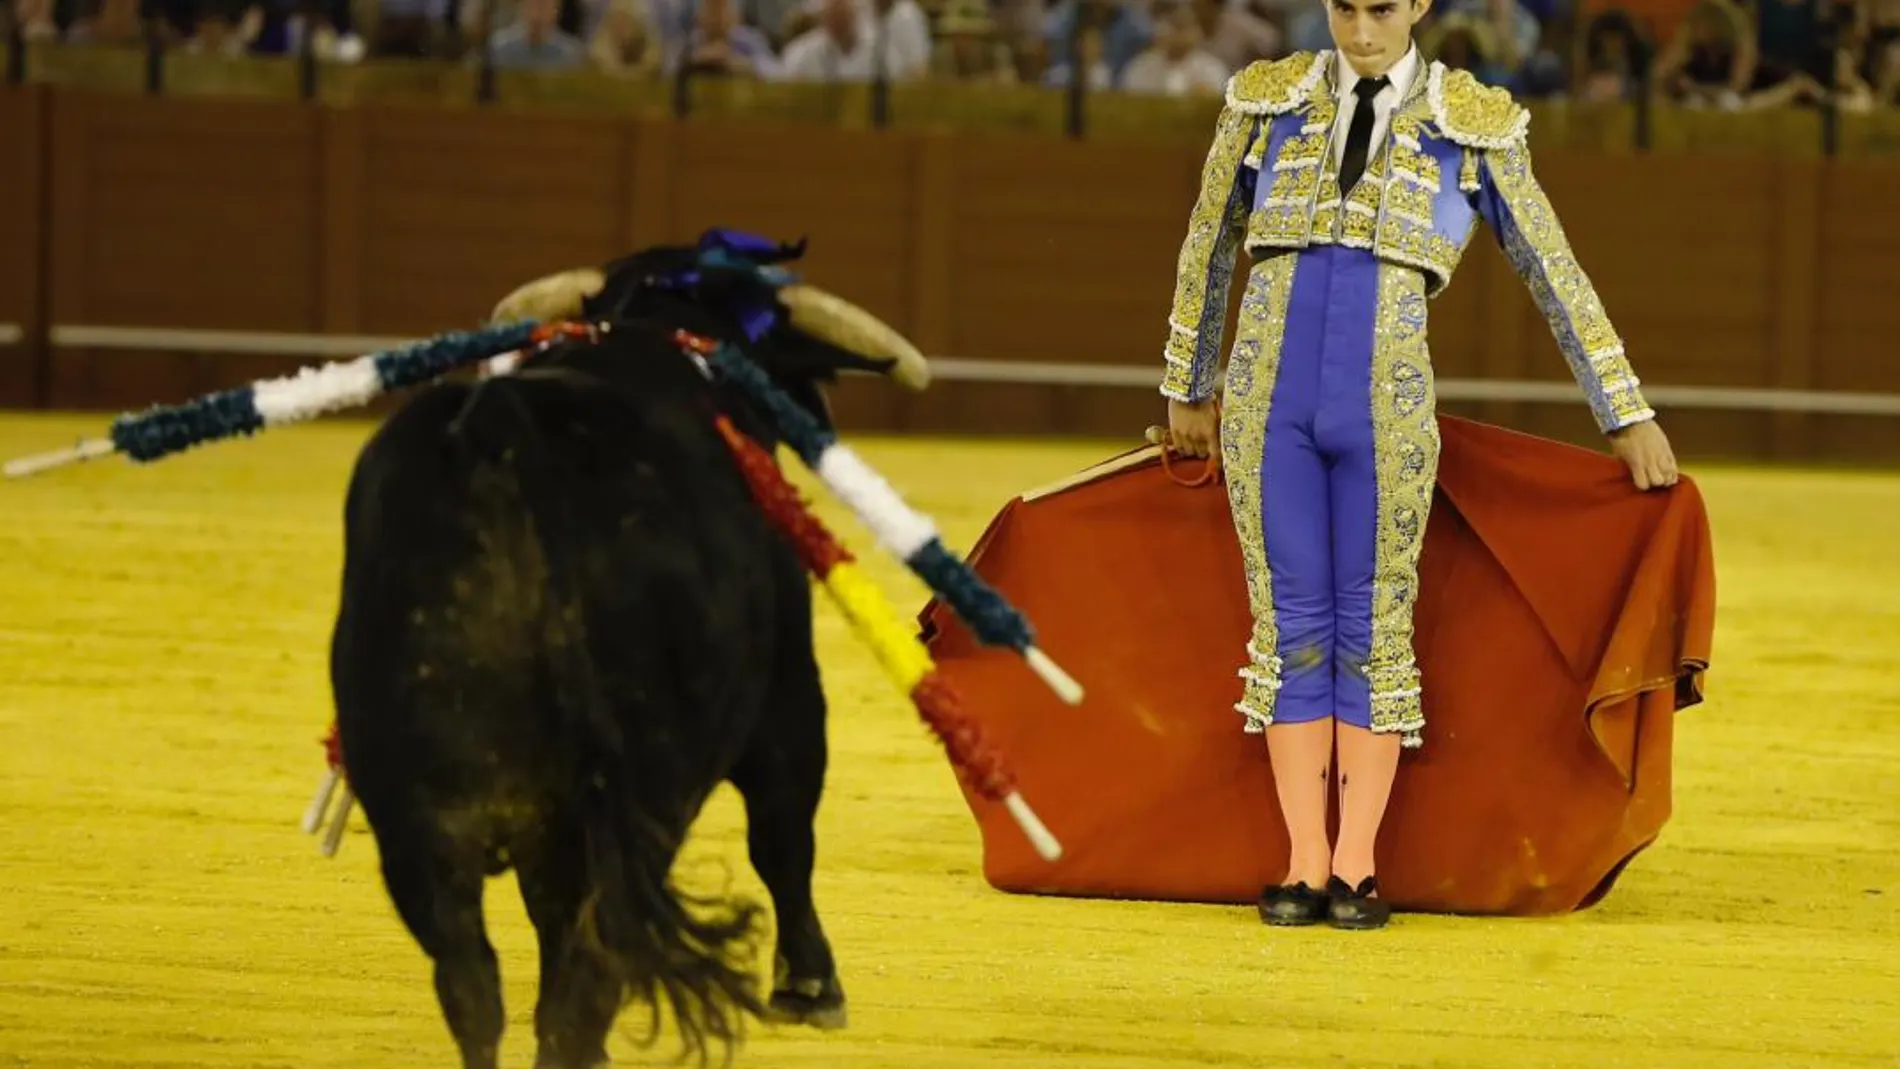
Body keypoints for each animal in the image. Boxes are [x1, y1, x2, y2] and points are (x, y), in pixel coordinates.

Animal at [328, 243, 934, 1069]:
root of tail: (501, 440)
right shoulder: (788, 702)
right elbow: (783, 836)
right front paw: (810, 983)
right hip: (636, 801)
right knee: (586, 979)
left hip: (418, 818)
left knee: (472, 980)